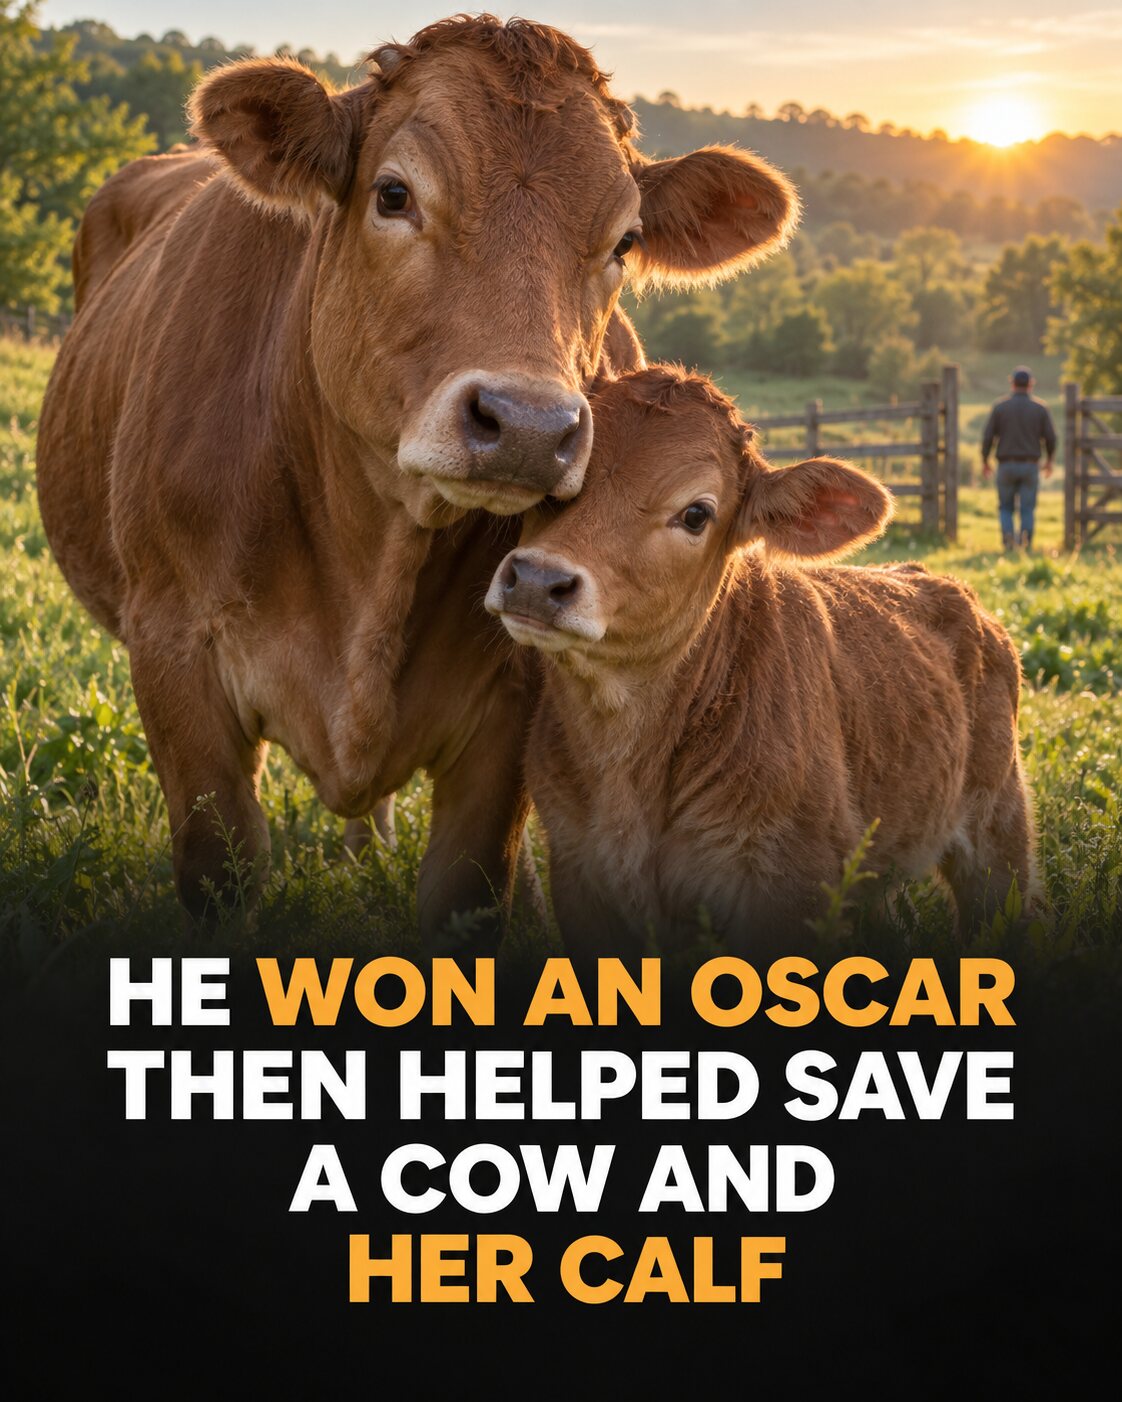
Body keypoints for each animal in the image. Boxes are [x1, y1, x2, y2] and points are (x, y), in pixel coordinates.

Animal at [34, 15, 799, 941]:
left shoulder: (515, 699)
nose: (529, 427)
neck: (373, 562)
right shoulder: (172, 650)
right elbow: (221, 873)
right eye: (394, 195)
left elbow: (469, 893)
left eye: (624, 242)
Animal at [485, 365, 1039, 959]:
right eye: (553, 483)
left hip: (998, 830)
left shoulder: (789, 882)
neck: (627, 763)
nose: (538, 580)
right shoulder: (579, 872)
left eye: (696, 514)